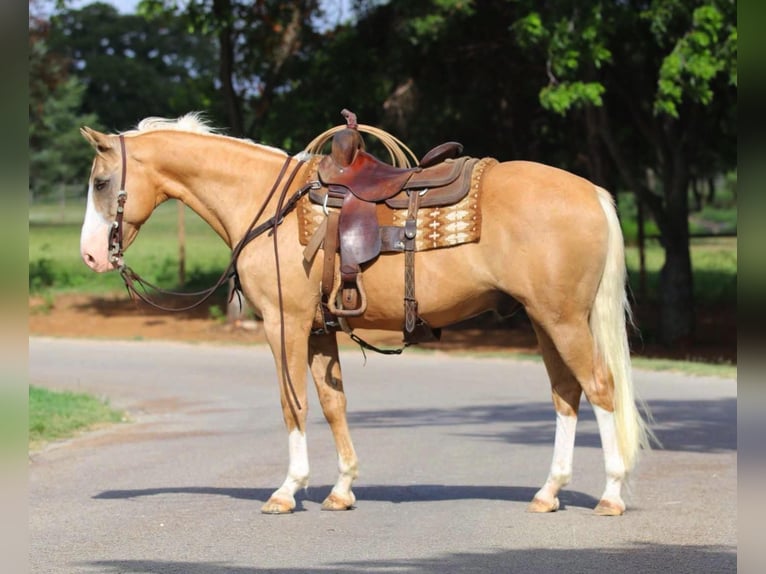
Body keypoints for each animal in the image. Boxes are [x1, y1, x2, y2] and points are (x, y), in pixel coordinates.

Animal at [78, 112, 656, 516]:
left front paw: (288, 490)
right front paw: (341, 489)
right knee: (566, 395)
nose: (90, 256)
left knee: (600, 389)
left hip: (562, 320)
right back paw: (548, 492)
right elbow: (333, 404)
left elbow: (293, 405)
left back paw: (611, 494)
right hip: (545, 320)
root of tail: (592, 192)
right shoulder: (318, 331)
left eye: (101, 183)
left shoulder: (284, 324)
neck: (267, 206)